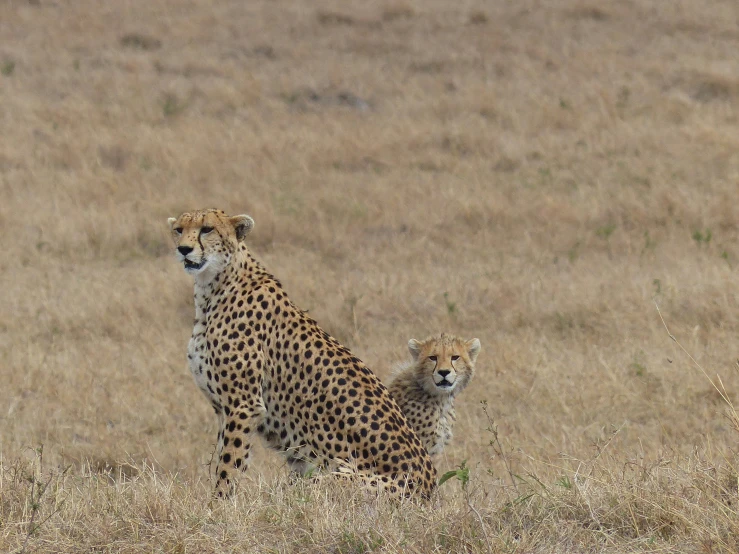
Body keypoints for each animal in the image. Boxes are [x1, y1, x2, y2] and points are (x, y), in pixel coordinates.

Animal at [168, 209, 434, 498]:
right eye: (179, 230)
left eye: (207, 229)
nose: (184, 249)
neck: (212, 287)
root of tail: (431, 487)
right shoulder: (224, 408)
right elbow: (225, 457)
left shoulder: (244, 405)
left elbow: (229, 464)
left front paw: (218, 503)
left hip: (329, 479)